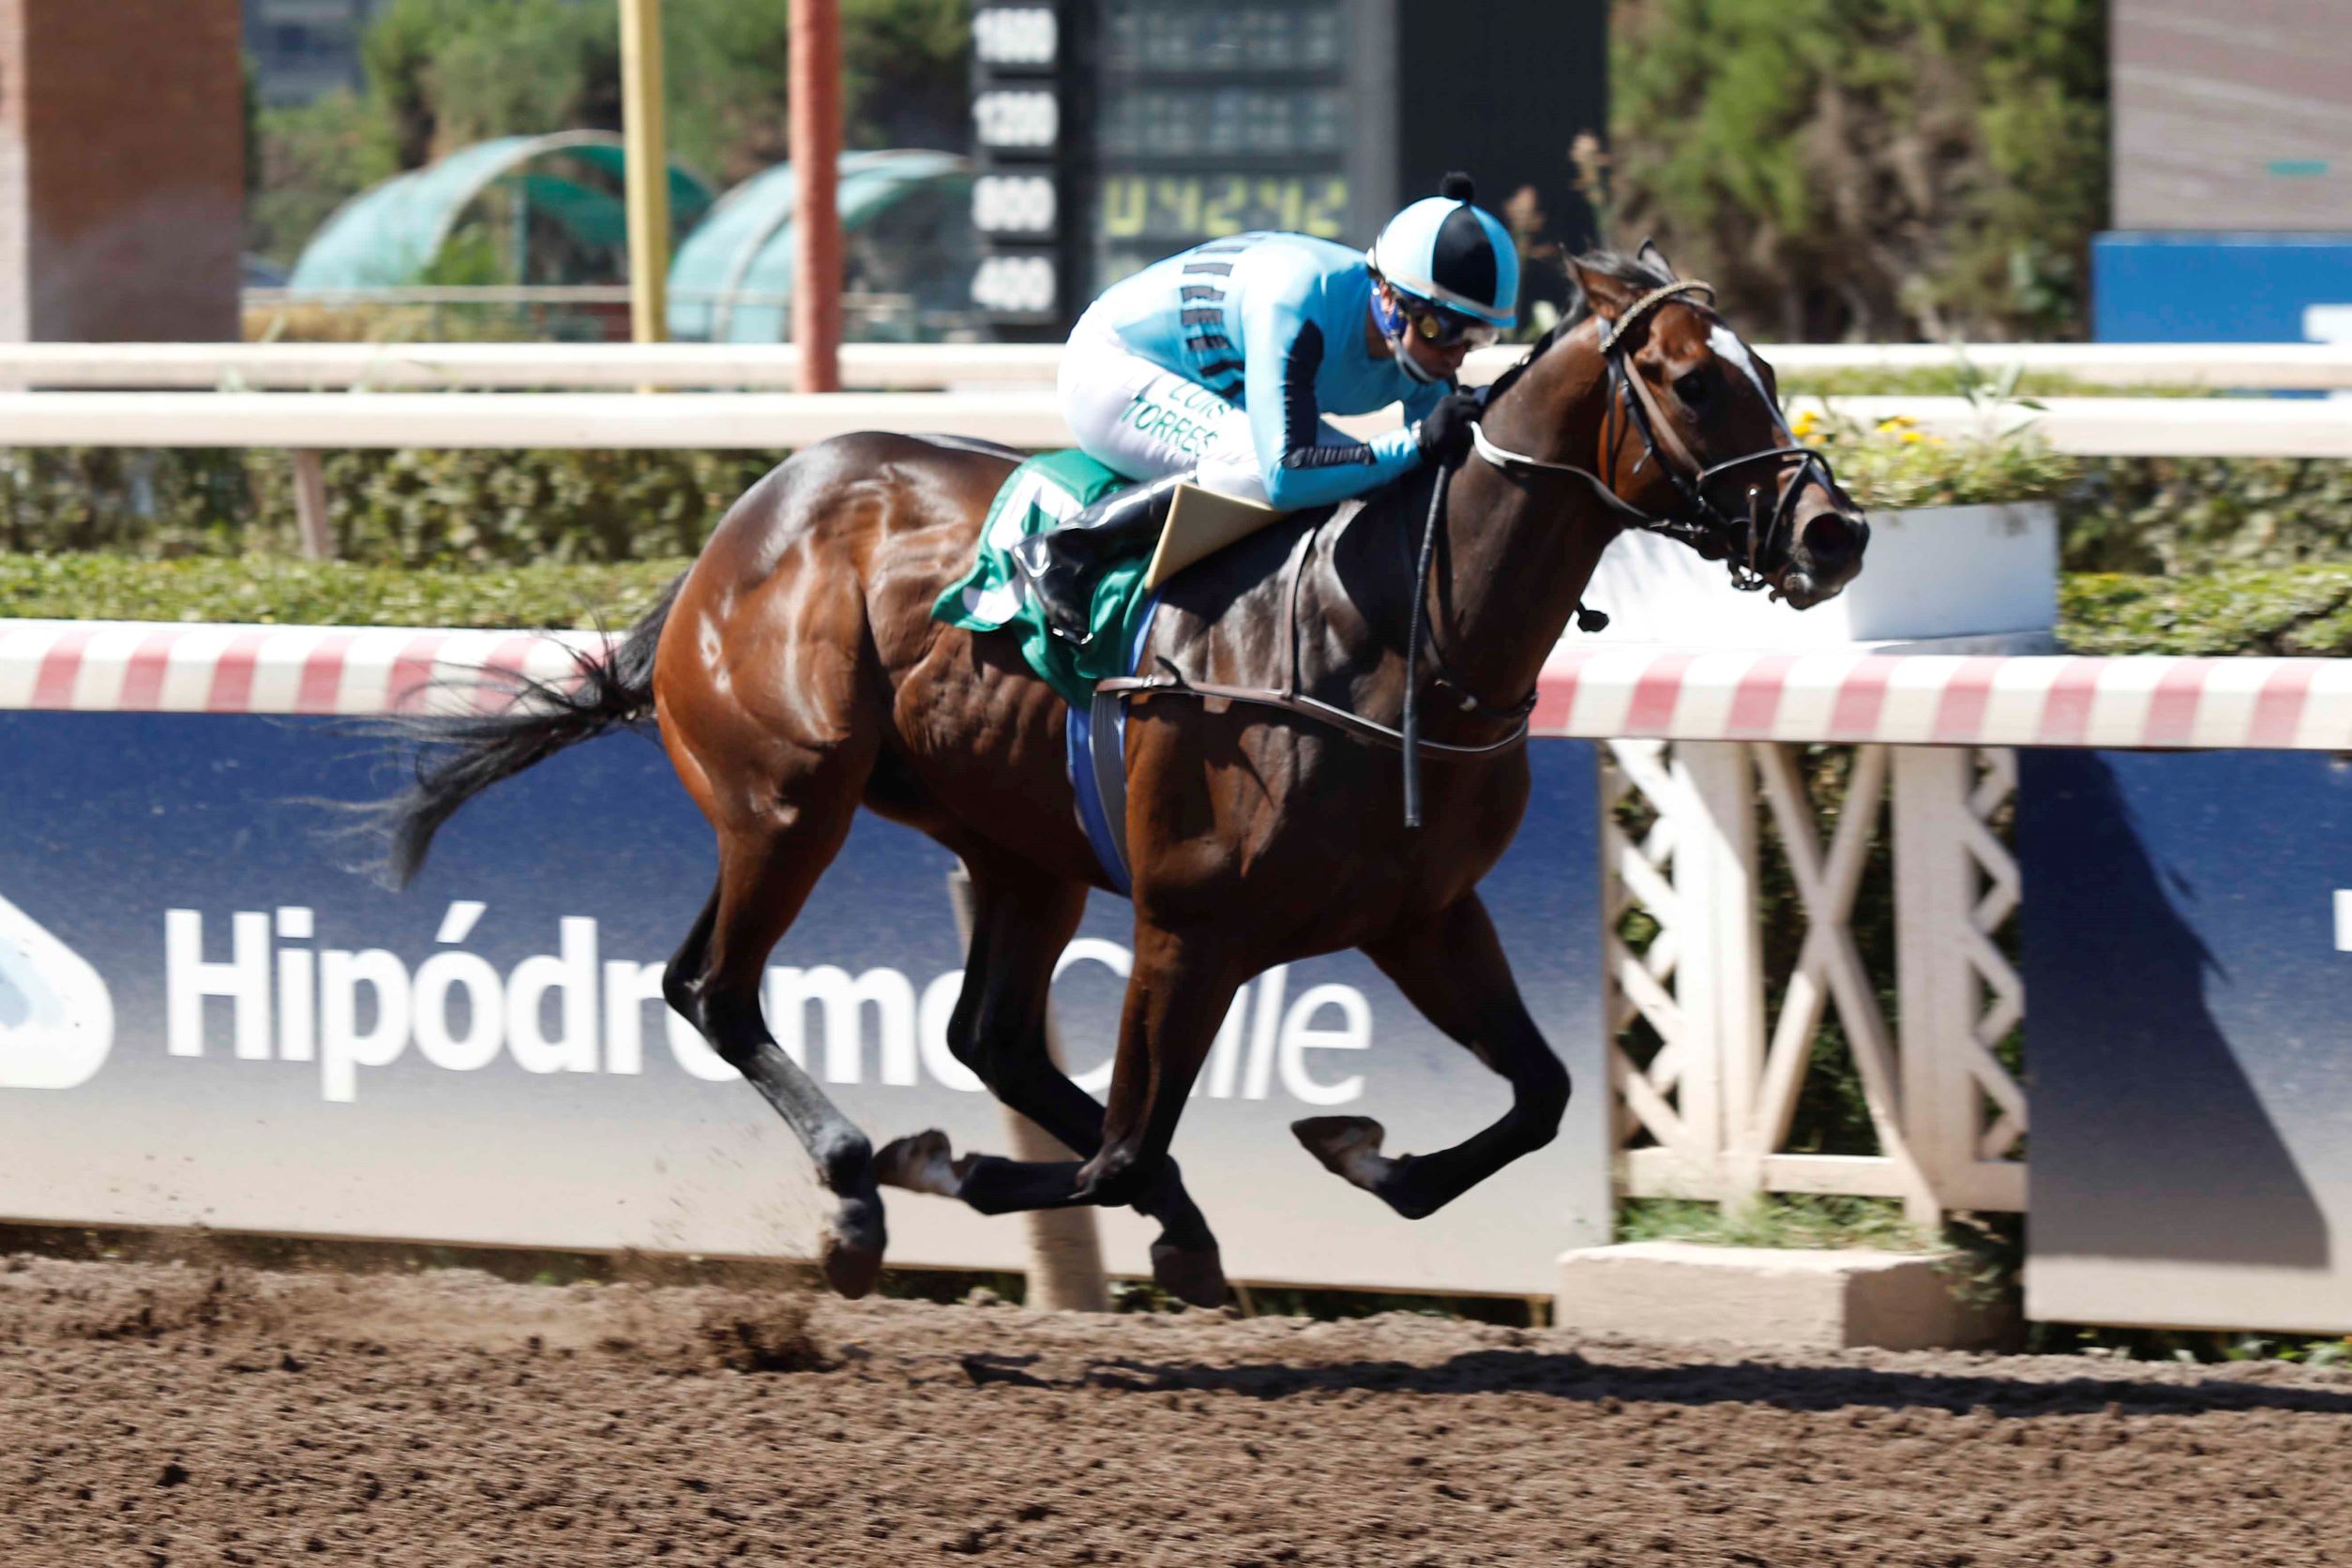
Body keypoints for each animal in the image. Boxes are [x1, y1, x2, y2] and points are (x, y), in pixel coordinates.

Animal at [370, 250, 1868, 1306]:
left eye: (1765, 363)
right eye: (1692, 380)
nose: (1834, 532)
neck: (1407, 633)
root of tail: (736, 531)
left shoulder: (1424, 915)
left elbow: (1541, 1097)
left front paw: (1360, 1152)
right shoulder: (1189, 921)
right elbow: (1125, 1143)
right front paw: (954, 1164)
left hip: (1014, 846)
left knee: (989, 1034)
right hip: (788, 802)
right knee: (715, 990)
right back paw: (859, 1192)